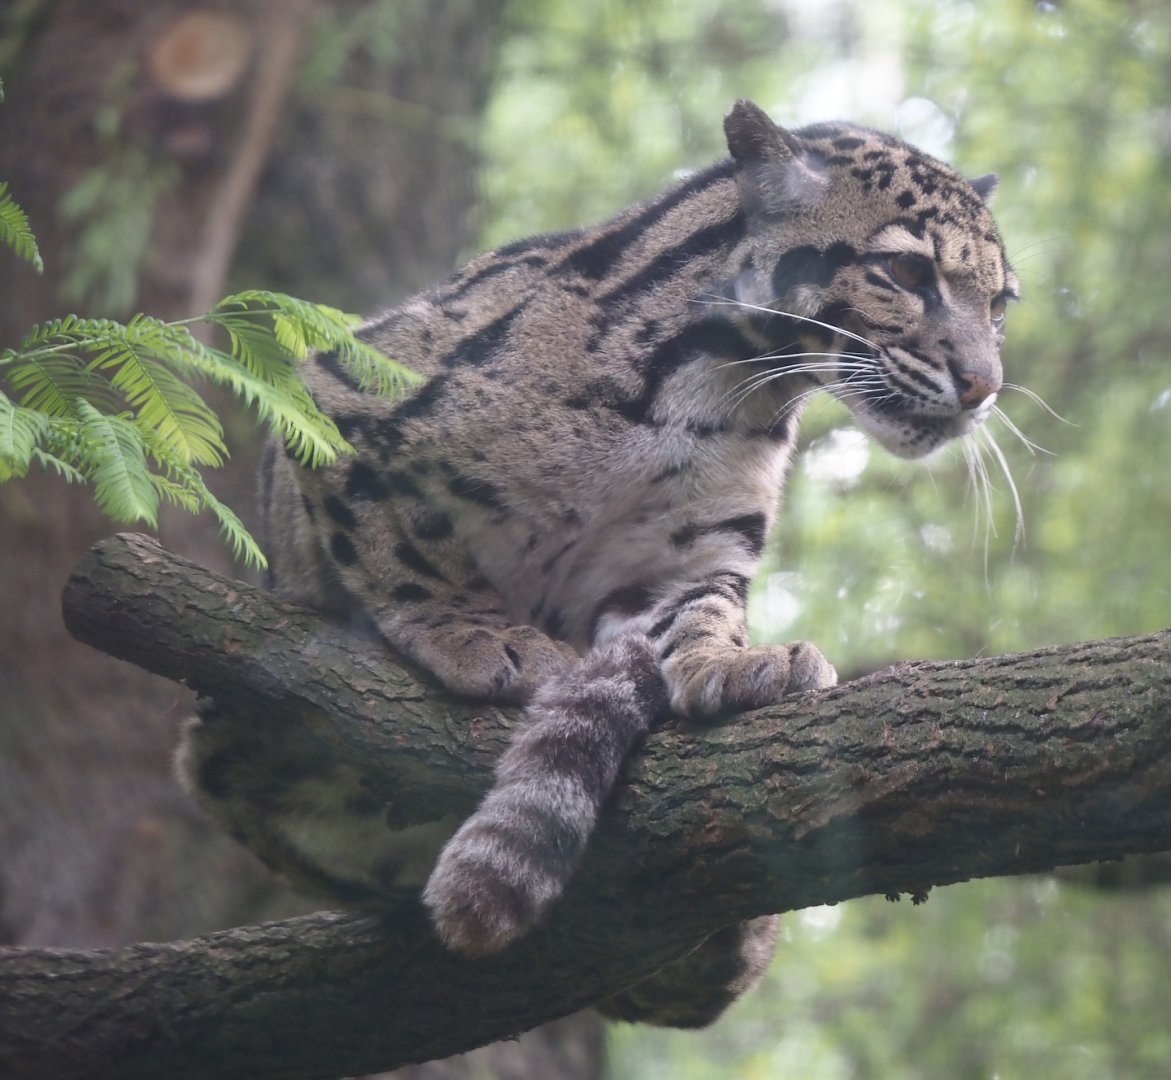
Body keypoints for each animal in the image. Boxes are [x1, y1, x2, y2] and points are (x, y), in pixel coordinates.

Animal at [178, 99, 1016, 1026]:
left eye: (1000, 302)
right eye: (904, 273)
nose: (984, 385)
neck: (727, 388)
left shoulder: (687, 554)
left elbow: (701, 612)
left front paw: (732, 663)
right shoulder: (339, 391)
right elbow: (398, 542)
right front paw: (478, 634)